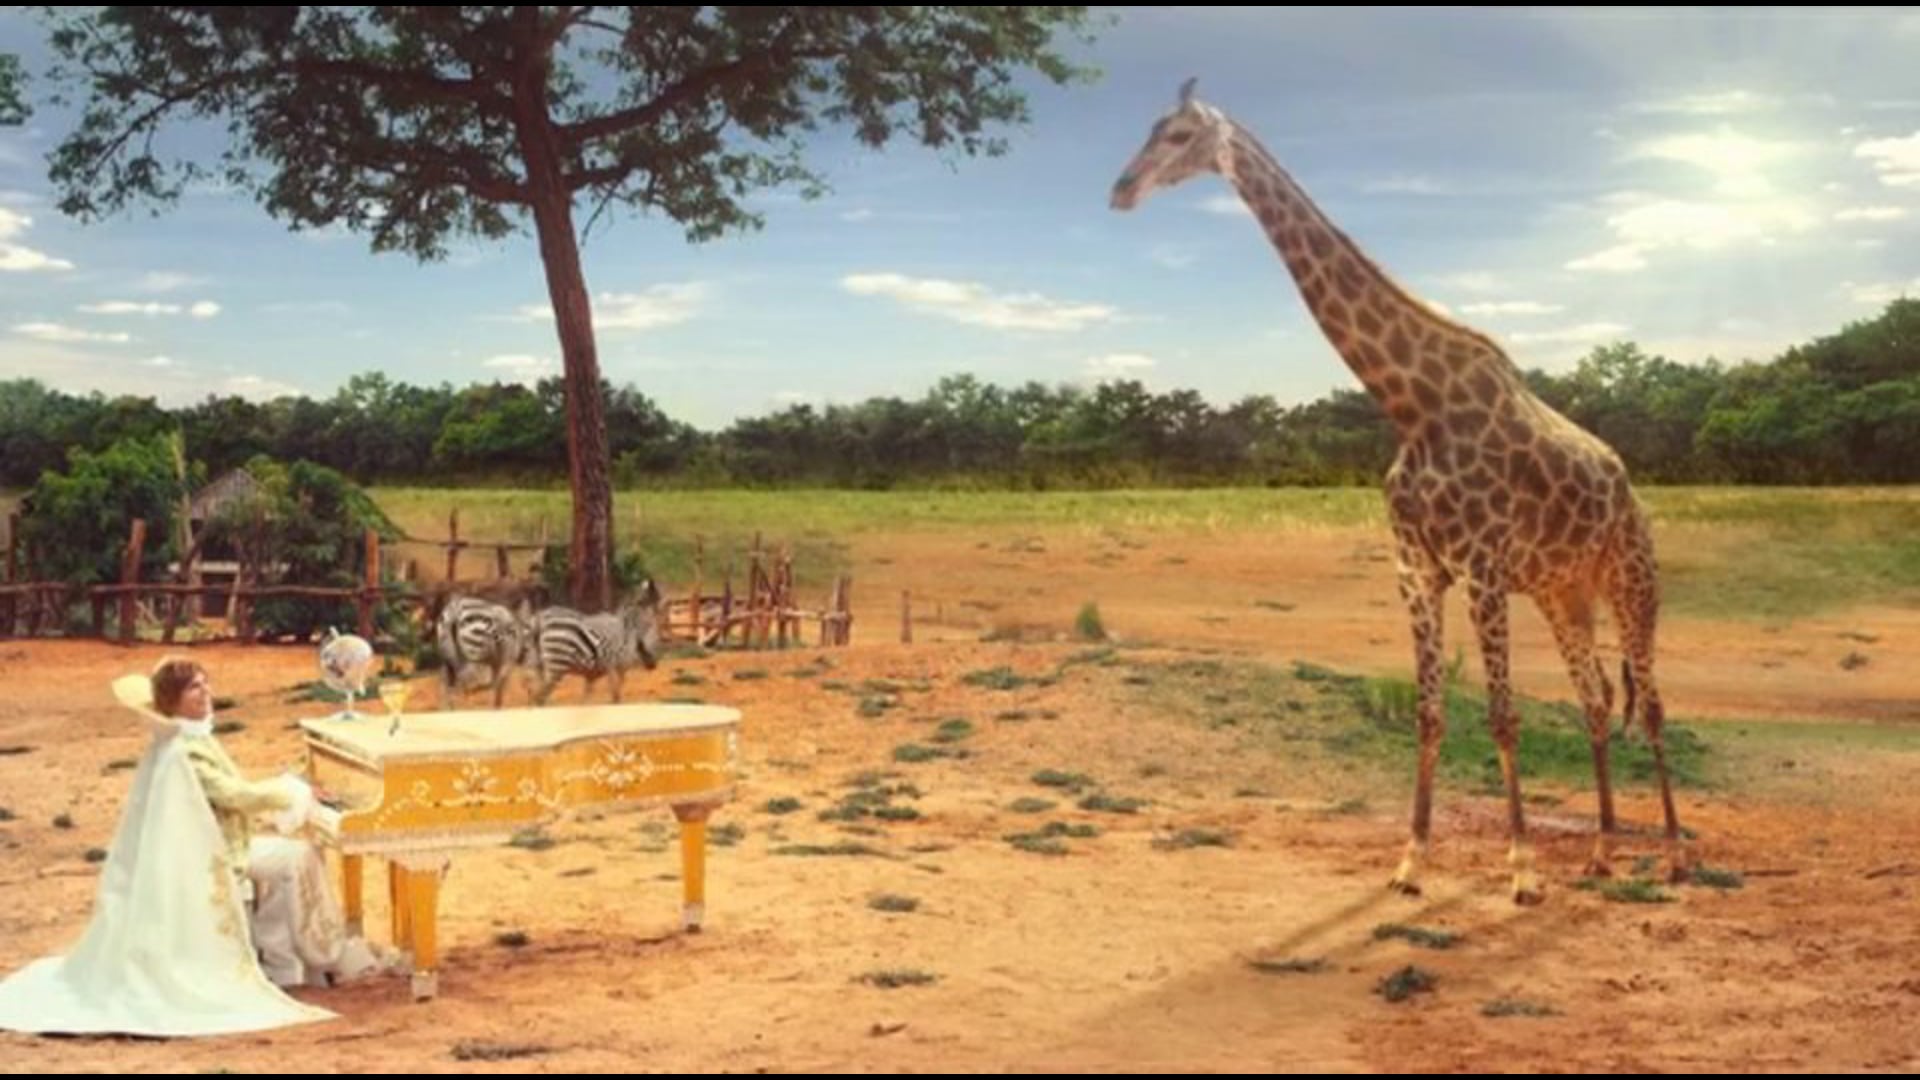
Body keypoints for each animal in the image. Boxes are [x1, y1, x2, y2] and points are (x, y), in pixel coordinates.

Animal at [1109, 80, 1690, 904]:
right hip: (1563, 593)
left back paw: (1672, 854)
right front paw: (1411, 860)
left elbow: (1503, 716)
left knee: (1655, 703)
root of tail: (1628, 484)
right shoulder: (1417, 571)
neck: (1412, 405)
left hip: (1632, 578)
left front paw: (1521, 869)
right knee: (1599, 697)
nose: (1121, 190)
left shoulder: (1481, 569)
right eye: (1151, 127)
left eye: (1181, 134)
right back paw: (1604, 852)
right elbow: (1428, 714)